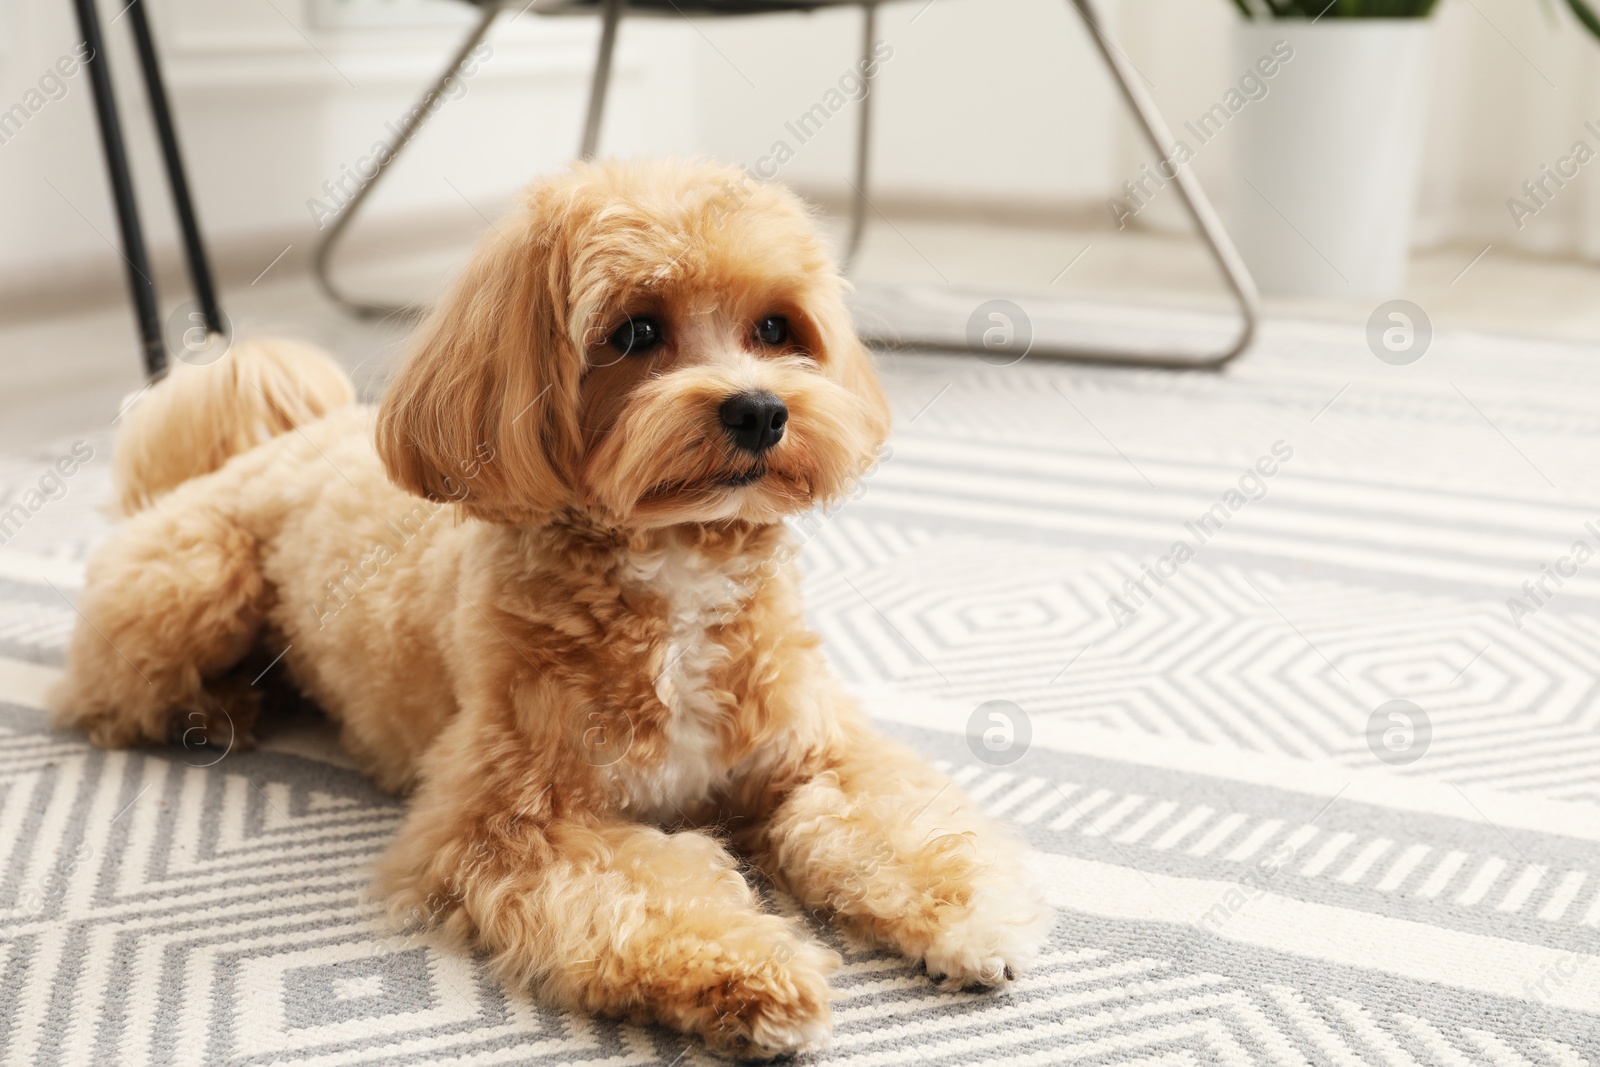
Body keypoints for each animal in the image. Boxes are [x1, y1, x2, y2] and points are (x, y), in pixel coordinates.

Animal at [53, 158, 1049, 1062]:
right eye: (636, 330)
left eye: (776, 327)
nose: (761, 410)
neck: (675, 570)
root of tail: (269, 442)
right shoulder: (512, 823)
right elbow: (653, 890)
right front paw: (754, 978)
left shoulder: (815, 752)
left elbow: (894, 822)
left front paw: (970, 918)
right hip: (195, 579)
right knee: (103, 695)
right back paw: (213, 706)